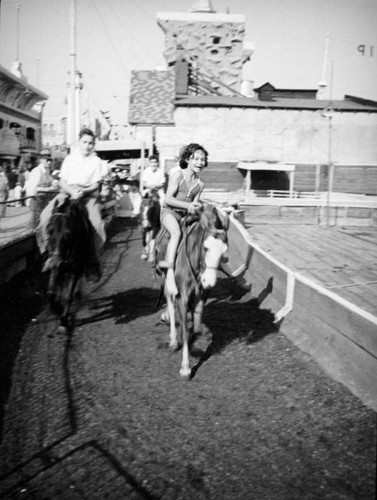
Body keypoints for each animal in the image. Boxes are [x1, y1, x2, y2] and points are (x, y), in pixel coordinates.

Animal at [45, 196, 98, 332]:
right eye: (49, 231)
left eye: (68, 233)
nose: (57, 261)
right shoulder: (55, 266)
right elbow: (51, 294)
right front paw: (57, 309)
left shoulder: (75, 267)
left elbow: (68, 296)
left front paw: (63, 321)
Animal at [154, 203, 228, 378]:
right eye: (206, 248)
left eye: (224, 252)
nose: (210, 282)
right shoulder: (182, 297)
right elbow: (185, 332)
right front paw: (186, 367)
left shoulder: (202, 296)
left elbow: (196, 326)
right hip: (164, 277)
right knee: (169, 300)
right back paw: (173, 339)